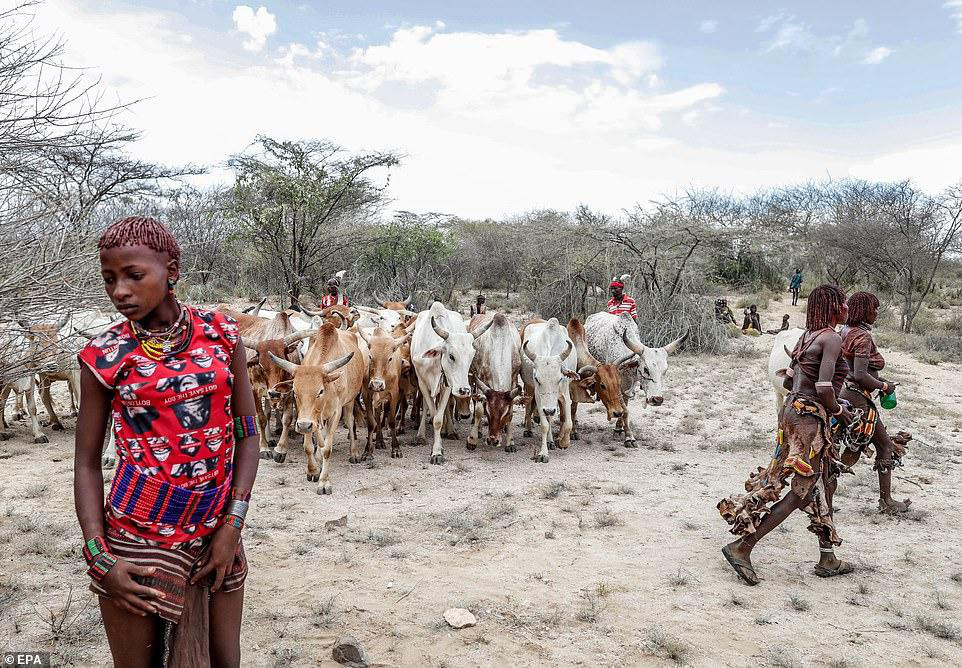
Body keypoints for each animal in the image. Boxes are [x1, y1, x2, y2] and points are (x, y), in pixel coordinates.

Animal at [408, 302, 492, 464]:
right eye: (451, 356)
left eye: (472, 355)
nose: (465, 390)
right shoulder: (422, 383)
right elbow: (431, 412)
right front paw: (434, 445)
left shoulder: (448, 385)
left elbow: (438, 418)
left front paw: (437, 451)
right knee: (426, 405)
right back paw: (421, 434)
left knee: (447, 406)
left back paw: (451, 430)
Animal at [520, 318, 572, 464]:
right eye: (537, 379)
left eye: (560, 379)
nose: (549, 409)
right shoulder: (539, 398)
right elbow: (544, 425)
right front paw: (543, 453)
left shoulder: (565, 394)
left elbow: (568, 423)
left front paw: (564, 442)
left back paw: (551, 441)